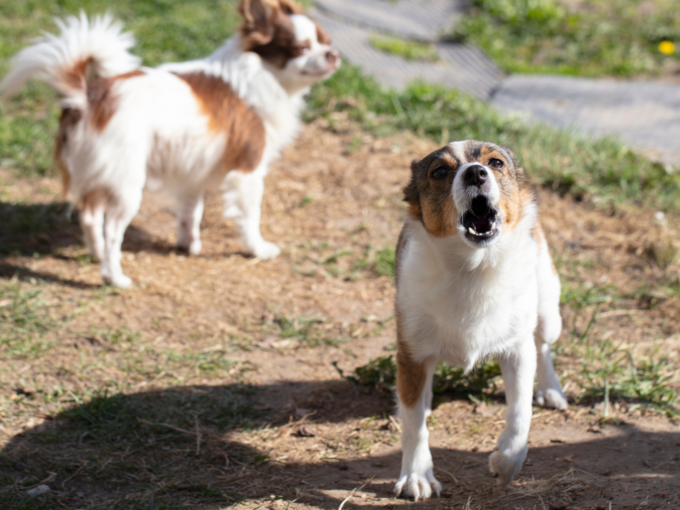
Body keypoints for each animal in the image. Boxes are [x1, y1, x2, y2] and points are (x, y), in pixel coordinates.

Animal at [0, 0, 340, 286]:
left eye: (326, 41)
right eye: (302, 48)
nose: (333, 54)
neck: (257, 74)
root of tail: (88, 95)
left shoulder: (194, 171)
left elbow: (191, 212)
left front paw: (188, 245)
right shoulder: (248, 172)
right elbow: (250, 217)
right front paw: (257, 249)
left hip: (99, 172)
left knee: (90, 217)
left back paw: (97, 257)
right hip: (127, 186)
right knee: (112, 230)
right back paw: (114, 277)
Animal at [394, 141, 568, 500]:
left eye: (496, 163)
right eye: (440, 171)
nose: (476, 172)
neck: (473, 269)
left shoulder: (518, 350)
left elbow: (520, 411)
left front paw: (507, 462)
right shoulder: (410, 354)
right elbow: (413, 424)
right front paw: (416, 474)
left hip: (548, 310)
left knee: (543, 345)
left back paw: (551, 388)